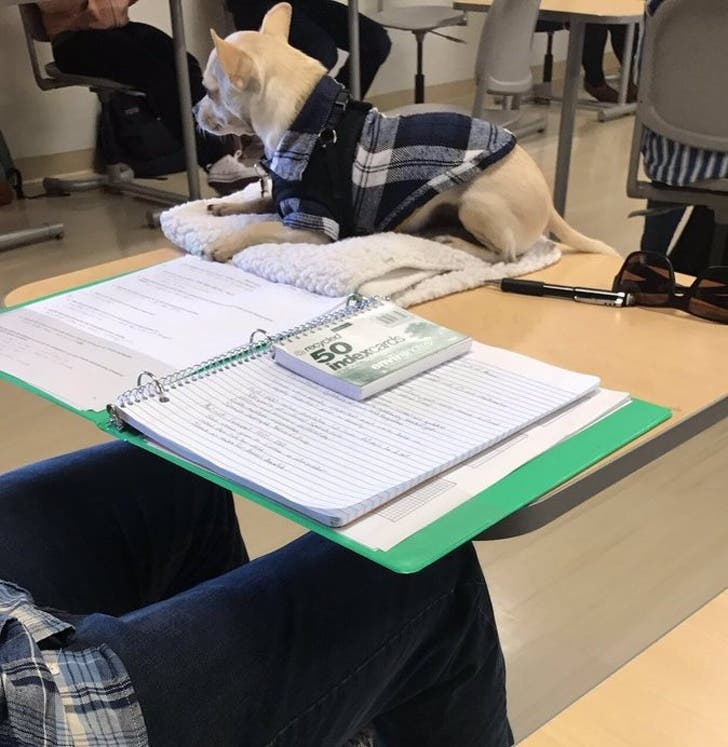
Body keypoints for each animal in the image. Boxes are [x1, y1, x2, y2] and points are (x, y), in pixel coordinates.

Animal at [196, 1, 616, 264]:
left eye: (209, 91)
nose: (195, 110)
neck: (312, 123)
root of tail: (549, 203)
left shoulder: (313, 226)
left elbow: (262, 227)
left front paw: (225, 243)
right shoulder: (287, 201)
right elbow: (261, 203)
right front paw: (226, 207)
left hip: (477, 205)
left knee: (507, 254)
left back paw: (455, 242)